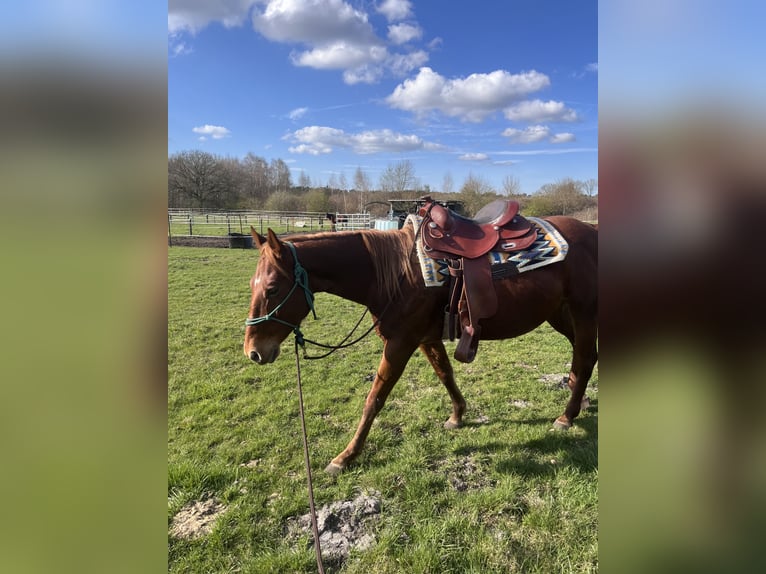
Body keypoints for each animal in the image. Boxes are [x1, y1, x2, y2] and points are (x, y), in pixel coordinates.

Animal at [243, 216, 597, 475]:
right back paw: (579, 401)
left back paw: (567, 416)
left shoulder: (400, 343)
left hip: (582, 311)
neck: (393, 275)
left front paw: (345, 456)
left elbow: (374, 399)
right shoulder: (426, 338)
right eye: (252, 284)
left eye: (273, 289)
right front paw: (457, 415)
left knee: (585, 357)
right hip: (558, 313)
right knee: (582, 357)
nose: (254, 351)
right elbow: (445, 374)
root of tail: (591, 230)